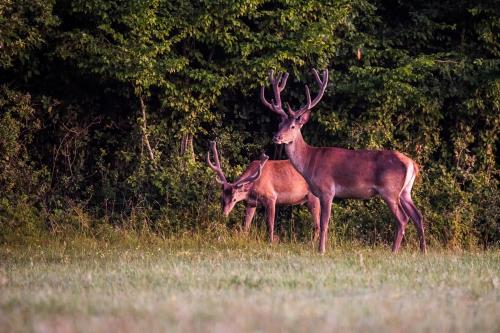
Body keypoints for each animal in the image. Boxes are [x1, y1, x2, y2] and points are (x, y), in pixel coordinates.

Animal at [260, 68, 428, 253]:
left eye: (292, 126)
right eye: (279, 124)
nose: (276, 137)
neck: (309, 163)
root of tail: (412, 164)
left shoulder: (327, 189)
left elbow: (324, 223)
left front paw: (321, 250)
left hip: (390, 190)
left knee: (403, 218)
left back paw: (394, 250)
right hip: (405, 191)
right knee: (417, 215)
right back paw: (423, 250)